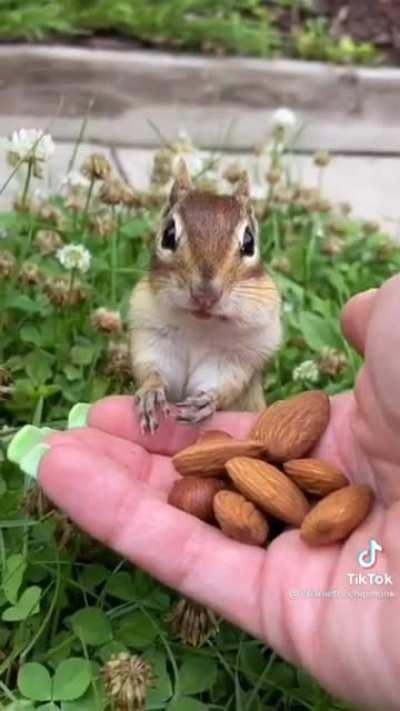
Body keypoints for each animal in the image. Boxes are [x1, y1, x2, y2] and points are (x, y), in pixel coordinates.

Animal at [129, 159, 282, 433]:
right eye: (168, 235)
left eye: (249, 242)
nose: (205, 295)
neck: (200, 326)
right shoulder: (153, 335)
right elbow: (154, 369)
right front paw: (151, 392)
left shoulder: (236, 355)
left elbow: (221, 383)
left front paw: (207, 401)